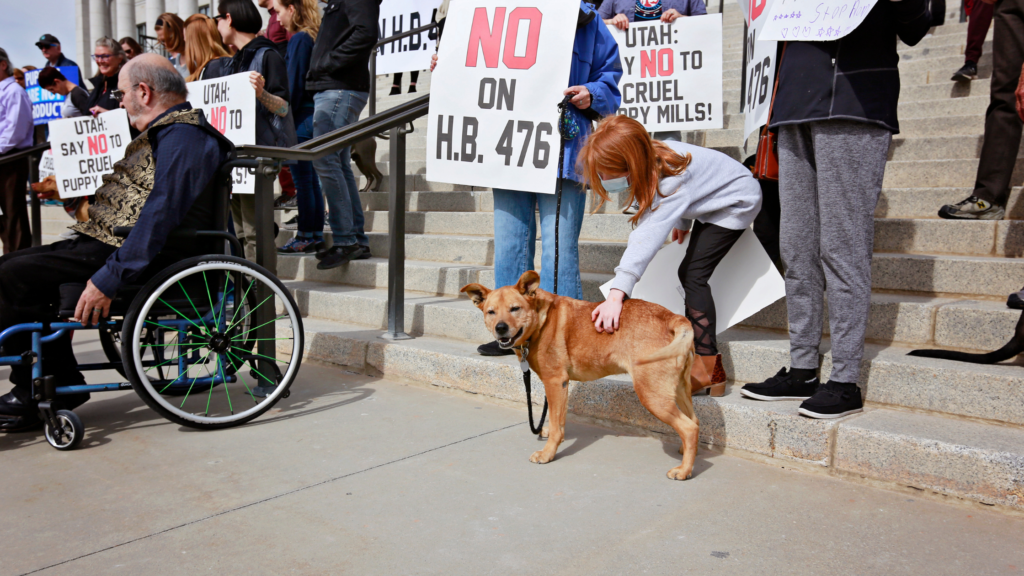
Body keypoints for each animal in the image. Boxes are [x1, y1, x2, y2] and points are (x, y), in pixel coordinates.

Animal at [460, 270, 700, 477]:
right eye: (491, 312)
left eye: (515, 309)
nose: (500, 328)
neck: (541, 320)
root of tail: (672, 316)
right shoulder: (562, 386)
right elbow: (559, 421)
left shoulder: (555, 382)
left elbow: (555, 423)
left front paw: (548, 453)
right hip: (680, 389)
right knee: (695, 422)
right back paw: (687, 452)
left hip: (652, 394)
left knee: (688, 428)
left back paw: (684, 470)